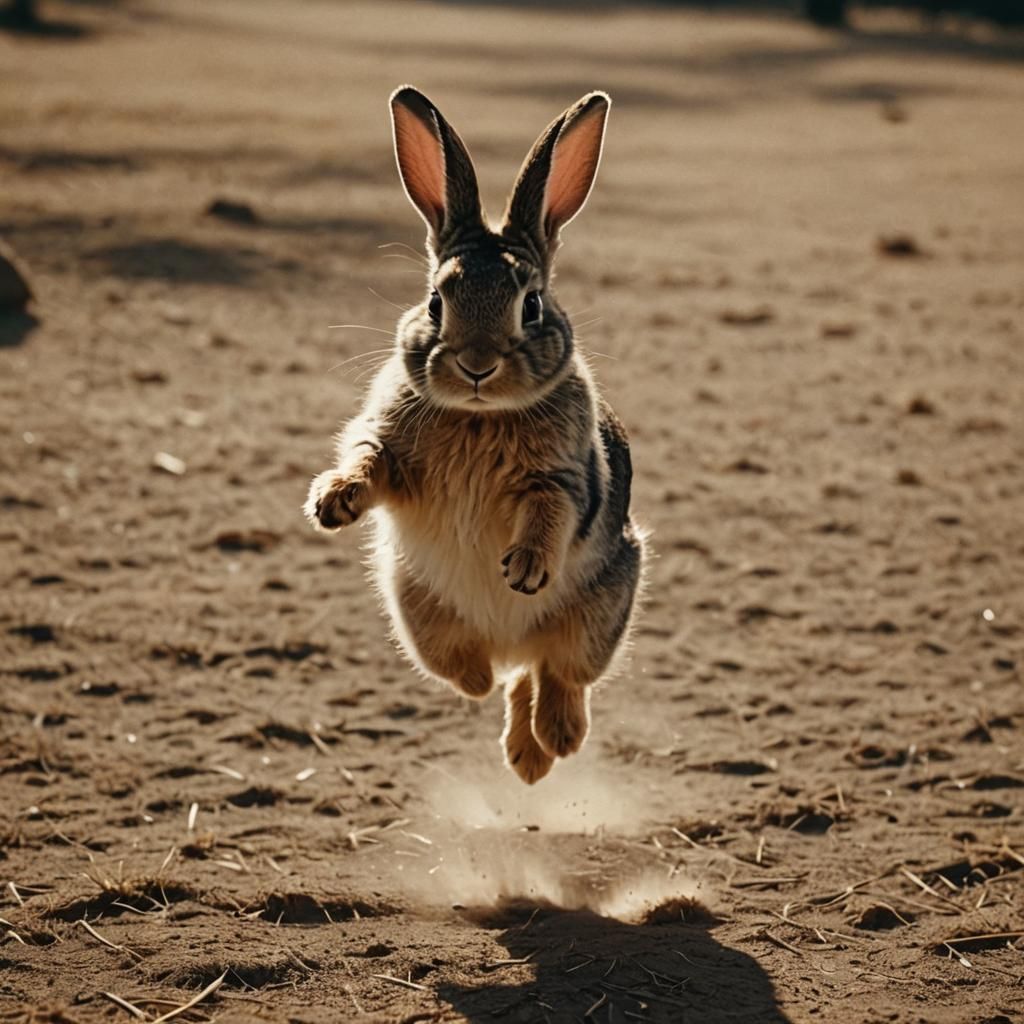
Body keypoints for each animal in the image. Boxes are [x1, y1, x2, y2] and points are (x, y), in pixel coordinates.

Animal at [305, 86, 645, 784]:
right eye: (437, 302)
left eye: (531, 305)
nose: (477, 365)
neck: (478, 415)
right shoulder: (389, 447)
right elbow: (366, 458)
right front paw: (334, 502)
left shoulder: (561, 479)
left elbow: (549, 510)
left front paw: (525, 567)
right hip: (413, 605)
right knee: (495, 676)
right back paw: (505, 720)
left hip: (606, 606)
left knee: (555, 674)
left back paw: (551, 743)